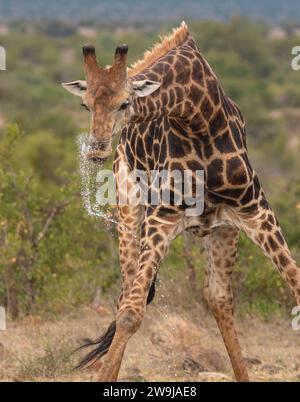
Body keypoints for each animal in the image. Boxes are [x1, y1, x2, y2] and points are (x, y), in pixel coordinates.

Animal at [62, 23, 300, 382]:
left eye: (124, 103)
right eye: (85, 105)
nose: (96, 150)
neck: (200, 115)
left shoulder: (255, 210)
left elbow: (295, 283)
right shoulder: (161, 217)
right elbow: (130, 313)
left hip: (222, 230)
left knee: (218, 296)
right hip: (130, 212)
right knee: (125, 296)